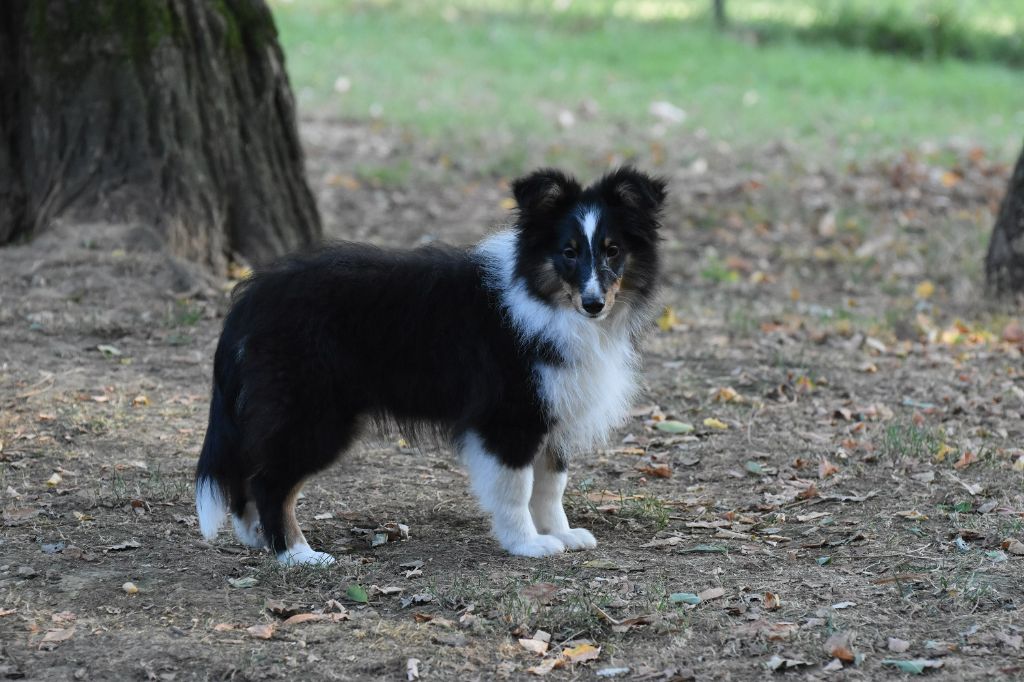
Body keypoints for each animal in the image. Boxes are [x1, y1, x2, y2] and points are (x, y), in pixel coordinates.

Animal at [195, 165, 667, 561]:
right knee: (269, 481)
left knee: (246, 474)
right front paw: (527, 544)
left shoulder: (553, 410)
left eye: (612, 250)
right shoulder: (509, 418)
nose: (594, 303)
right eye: (568, 252)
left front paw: (562, 533)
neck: (542, 297)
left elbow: (551, 485)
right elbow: (517, 487)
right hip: (313, 413)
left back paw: (256, 537)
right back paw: (296, 554)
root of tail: (250, 299)